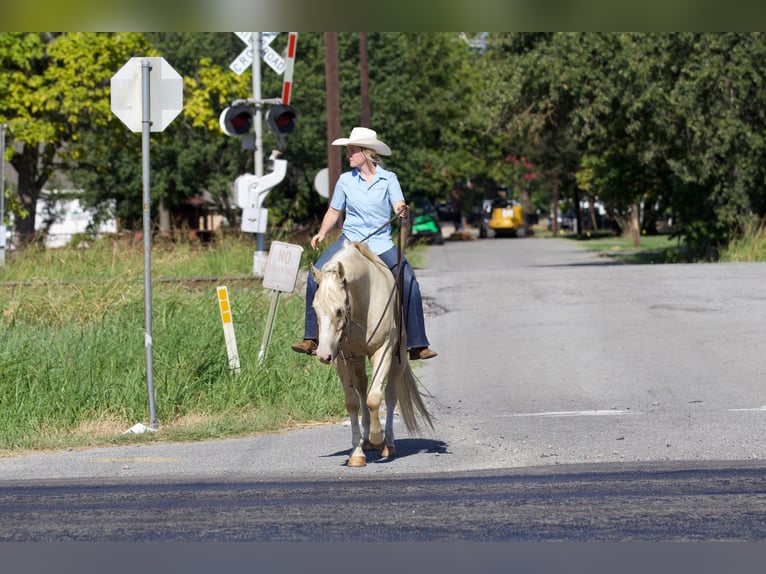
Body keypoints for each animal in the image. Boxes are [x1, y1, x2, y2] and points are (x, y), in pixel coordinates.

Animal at [310, 241, 432, 466]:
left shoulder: (383, 350)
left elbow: (375, 398)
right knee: (362, 387)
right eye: (314, 309)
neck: (364, 299)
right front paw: (357, 453)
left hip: (398, 358)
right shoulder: (342, 357)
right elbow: (352, 402)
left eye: (339, 310)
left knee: (390, 395)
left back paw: (387, 443)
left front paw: (377, 436)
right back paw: (366, 440)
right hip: (357, 358)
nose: (323, 355)